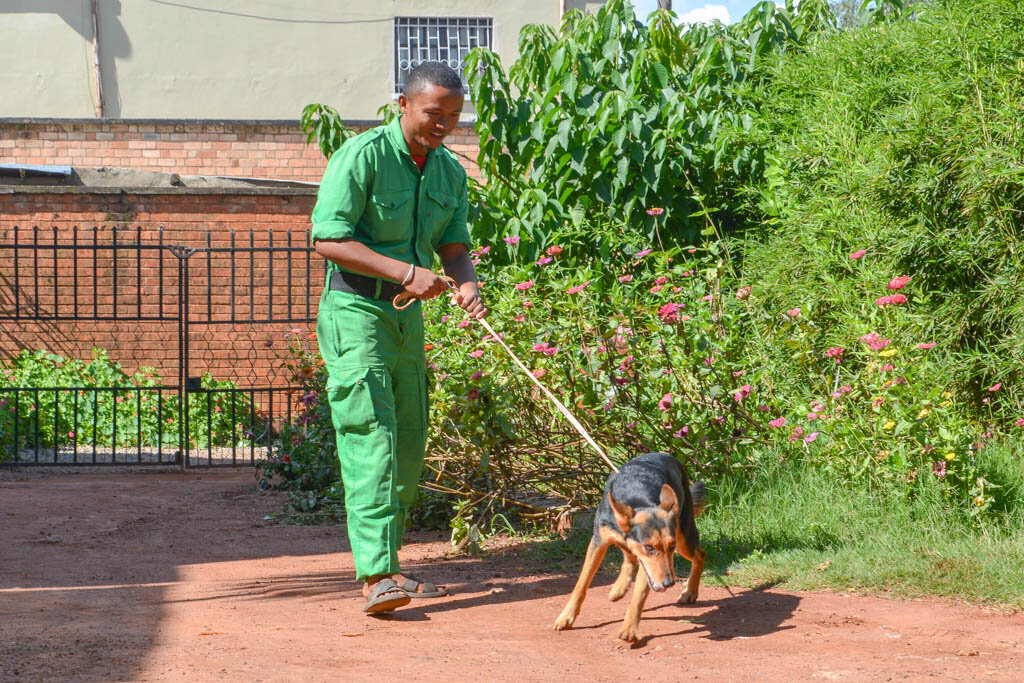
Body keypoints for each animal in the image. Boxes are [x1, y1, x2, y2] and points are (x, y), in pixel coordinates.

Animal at [552, 454, 704, 643]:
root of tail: (665, 454)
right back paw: (619, 588)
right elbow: (581, 584)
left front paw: (629, 628)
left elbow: (638, 596)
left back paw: (690, 591)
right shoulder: (599, 541)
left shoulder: (650, 566)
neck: (638, 500)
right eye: (649, 547)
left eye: (671, 546)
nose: (669, 583)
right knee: (629, 557)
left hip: (684, 538)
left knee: (700, 555)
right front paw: (566, 616)